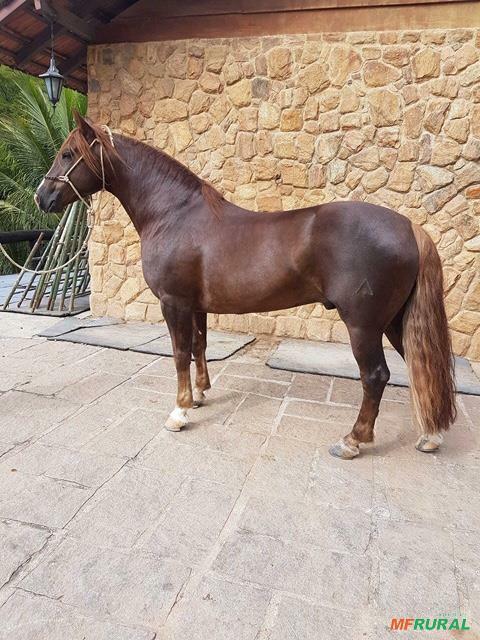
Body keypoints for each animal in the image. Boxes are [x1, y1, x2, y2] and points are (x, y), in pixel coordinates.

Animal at [35, 112, 456, 459]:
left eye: (68, 154)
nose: (42, 197)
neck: (172, 214)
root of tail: (409, 226)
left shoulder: (174, 303)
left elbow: (178, 353)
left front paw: (179, 412)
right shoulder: (196, 306)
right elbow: (199, 347)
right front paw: (200, 395)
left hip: (364, 326)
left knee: (376, 377)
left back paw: (353, 440)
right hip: (394, 321)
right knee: (419, 366)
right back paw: (431, 435)